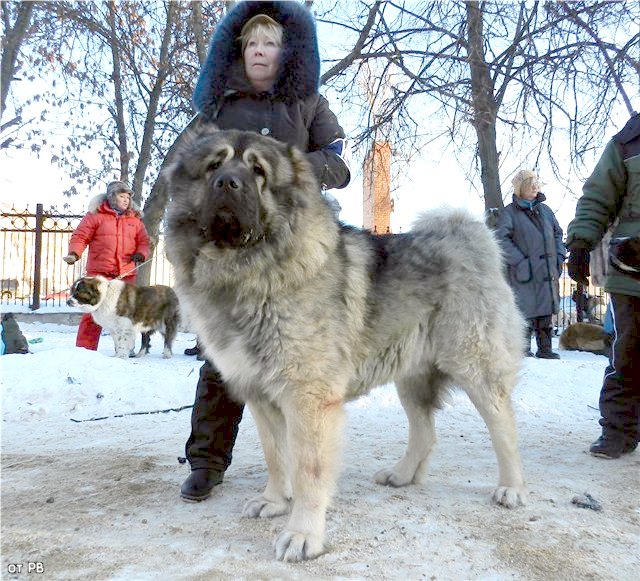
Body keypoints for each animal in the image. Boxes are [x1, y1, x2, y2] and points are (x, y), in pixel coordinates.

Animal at [162, 125, 528, 556]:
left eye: (258, 171)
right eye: (213, 166)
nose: (227, 183)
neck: (251, 271)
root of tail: (471, 238)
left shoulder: (308, 399)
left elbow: (308, 469)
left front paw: (303, 533)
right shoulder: (260, 394)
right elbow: (276, 455)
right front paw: (274, 501)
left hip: (474, 366)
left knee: (503, 426)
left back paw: (511, 488)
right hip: (412, 375)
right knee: (425, 432)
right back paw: (403, 474)